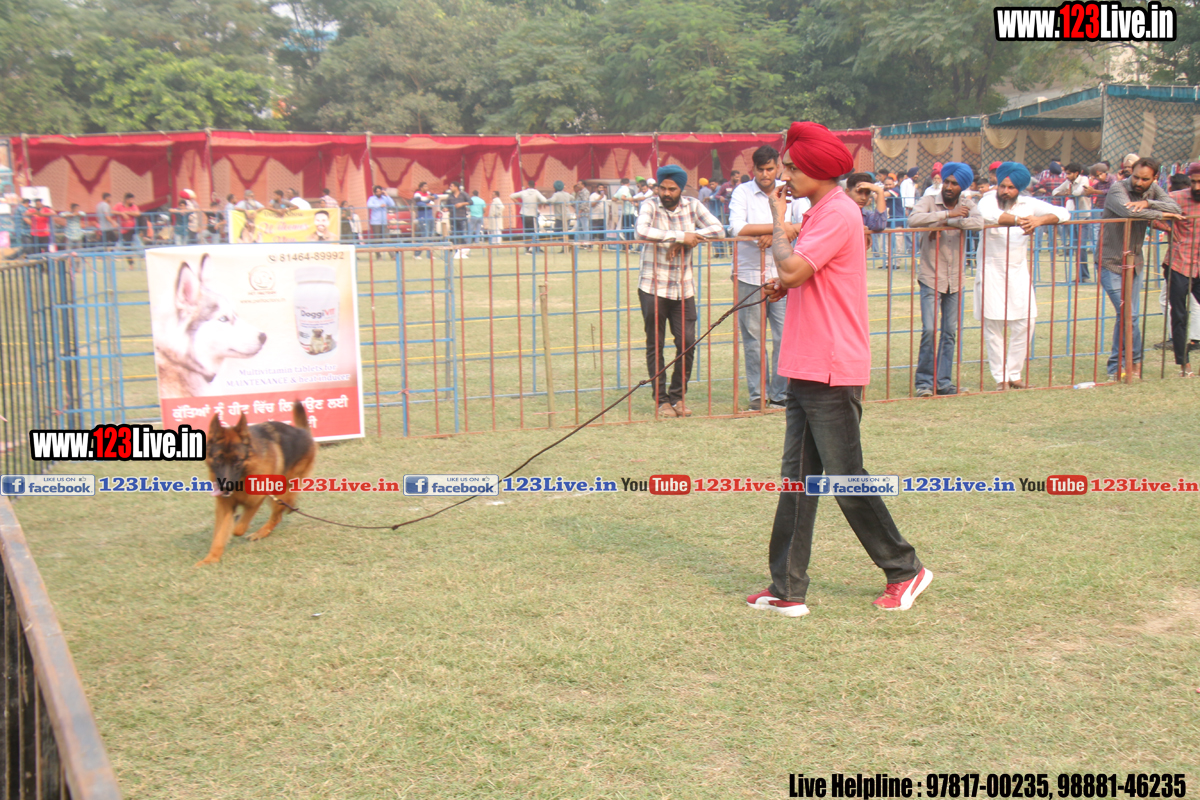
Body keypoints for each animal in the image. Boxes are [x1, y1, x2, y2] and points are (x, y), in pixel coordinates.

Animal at [197, 401, 317, 566]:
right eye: (218, 459)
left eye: (237, 461)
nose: (225, 487)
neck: (242, 478)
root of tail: (302, 431)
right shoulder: (224, 506)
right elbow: (220, 535)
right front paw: (211, 558)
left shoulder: (256, 499)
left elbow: (239, 528)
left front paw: (236, 526)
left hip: (281, 488)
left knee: (279, 512)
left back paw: (264, 528)